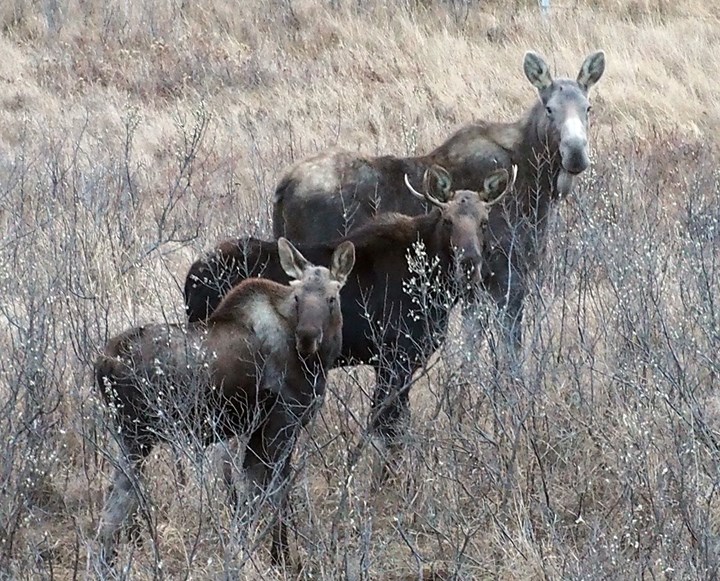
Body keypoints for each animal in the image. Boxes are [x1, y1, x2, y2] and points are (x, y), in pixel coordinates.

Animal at [95, 236, 354, 568]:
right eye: (297, 298)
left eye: (332, 299)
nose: (307, 337)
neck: (317, 364)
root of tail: (102, 363)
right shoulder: (282, 422)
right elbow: (274, 493)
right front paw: (281, 558)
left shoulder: (258, 431)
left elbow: (249, 497)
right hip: (136, 435)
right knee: (116, 504)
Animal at [183, 165, 516, 474]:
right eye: (448, 220)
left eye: (484, 222)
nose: (469, 263)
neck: (436, 286)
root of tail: (190, 278)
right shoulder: (395, 357)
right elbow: (389, 431)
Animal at [272, 49, 604, 348]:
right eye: (549, 108)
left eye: (588, 108)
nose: (576, 153)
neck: (539, 180)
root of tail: (282, 185)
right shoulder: (506, 274)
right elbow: (509, 347)